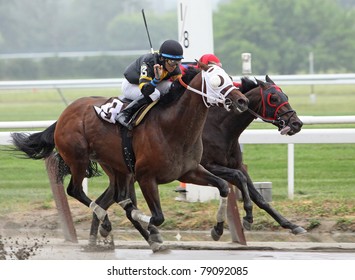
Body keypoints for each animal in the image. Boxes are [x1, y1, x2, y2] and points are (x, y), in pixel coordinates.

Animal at [11, 63, 250, 252]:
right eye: (217, 81)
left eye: (229, 77)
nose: (242, 101)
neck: (172, 126)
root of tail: (63, 115)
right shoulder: (146, 177)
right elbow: (155, 216)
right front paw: (151, 230)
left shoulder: (189, 171)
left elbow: (223, 186)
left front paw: (218, 229)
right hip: (78, 160)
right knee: (76, 191)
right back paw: (108, 224)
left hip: (117, 167)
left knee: (115, 196)